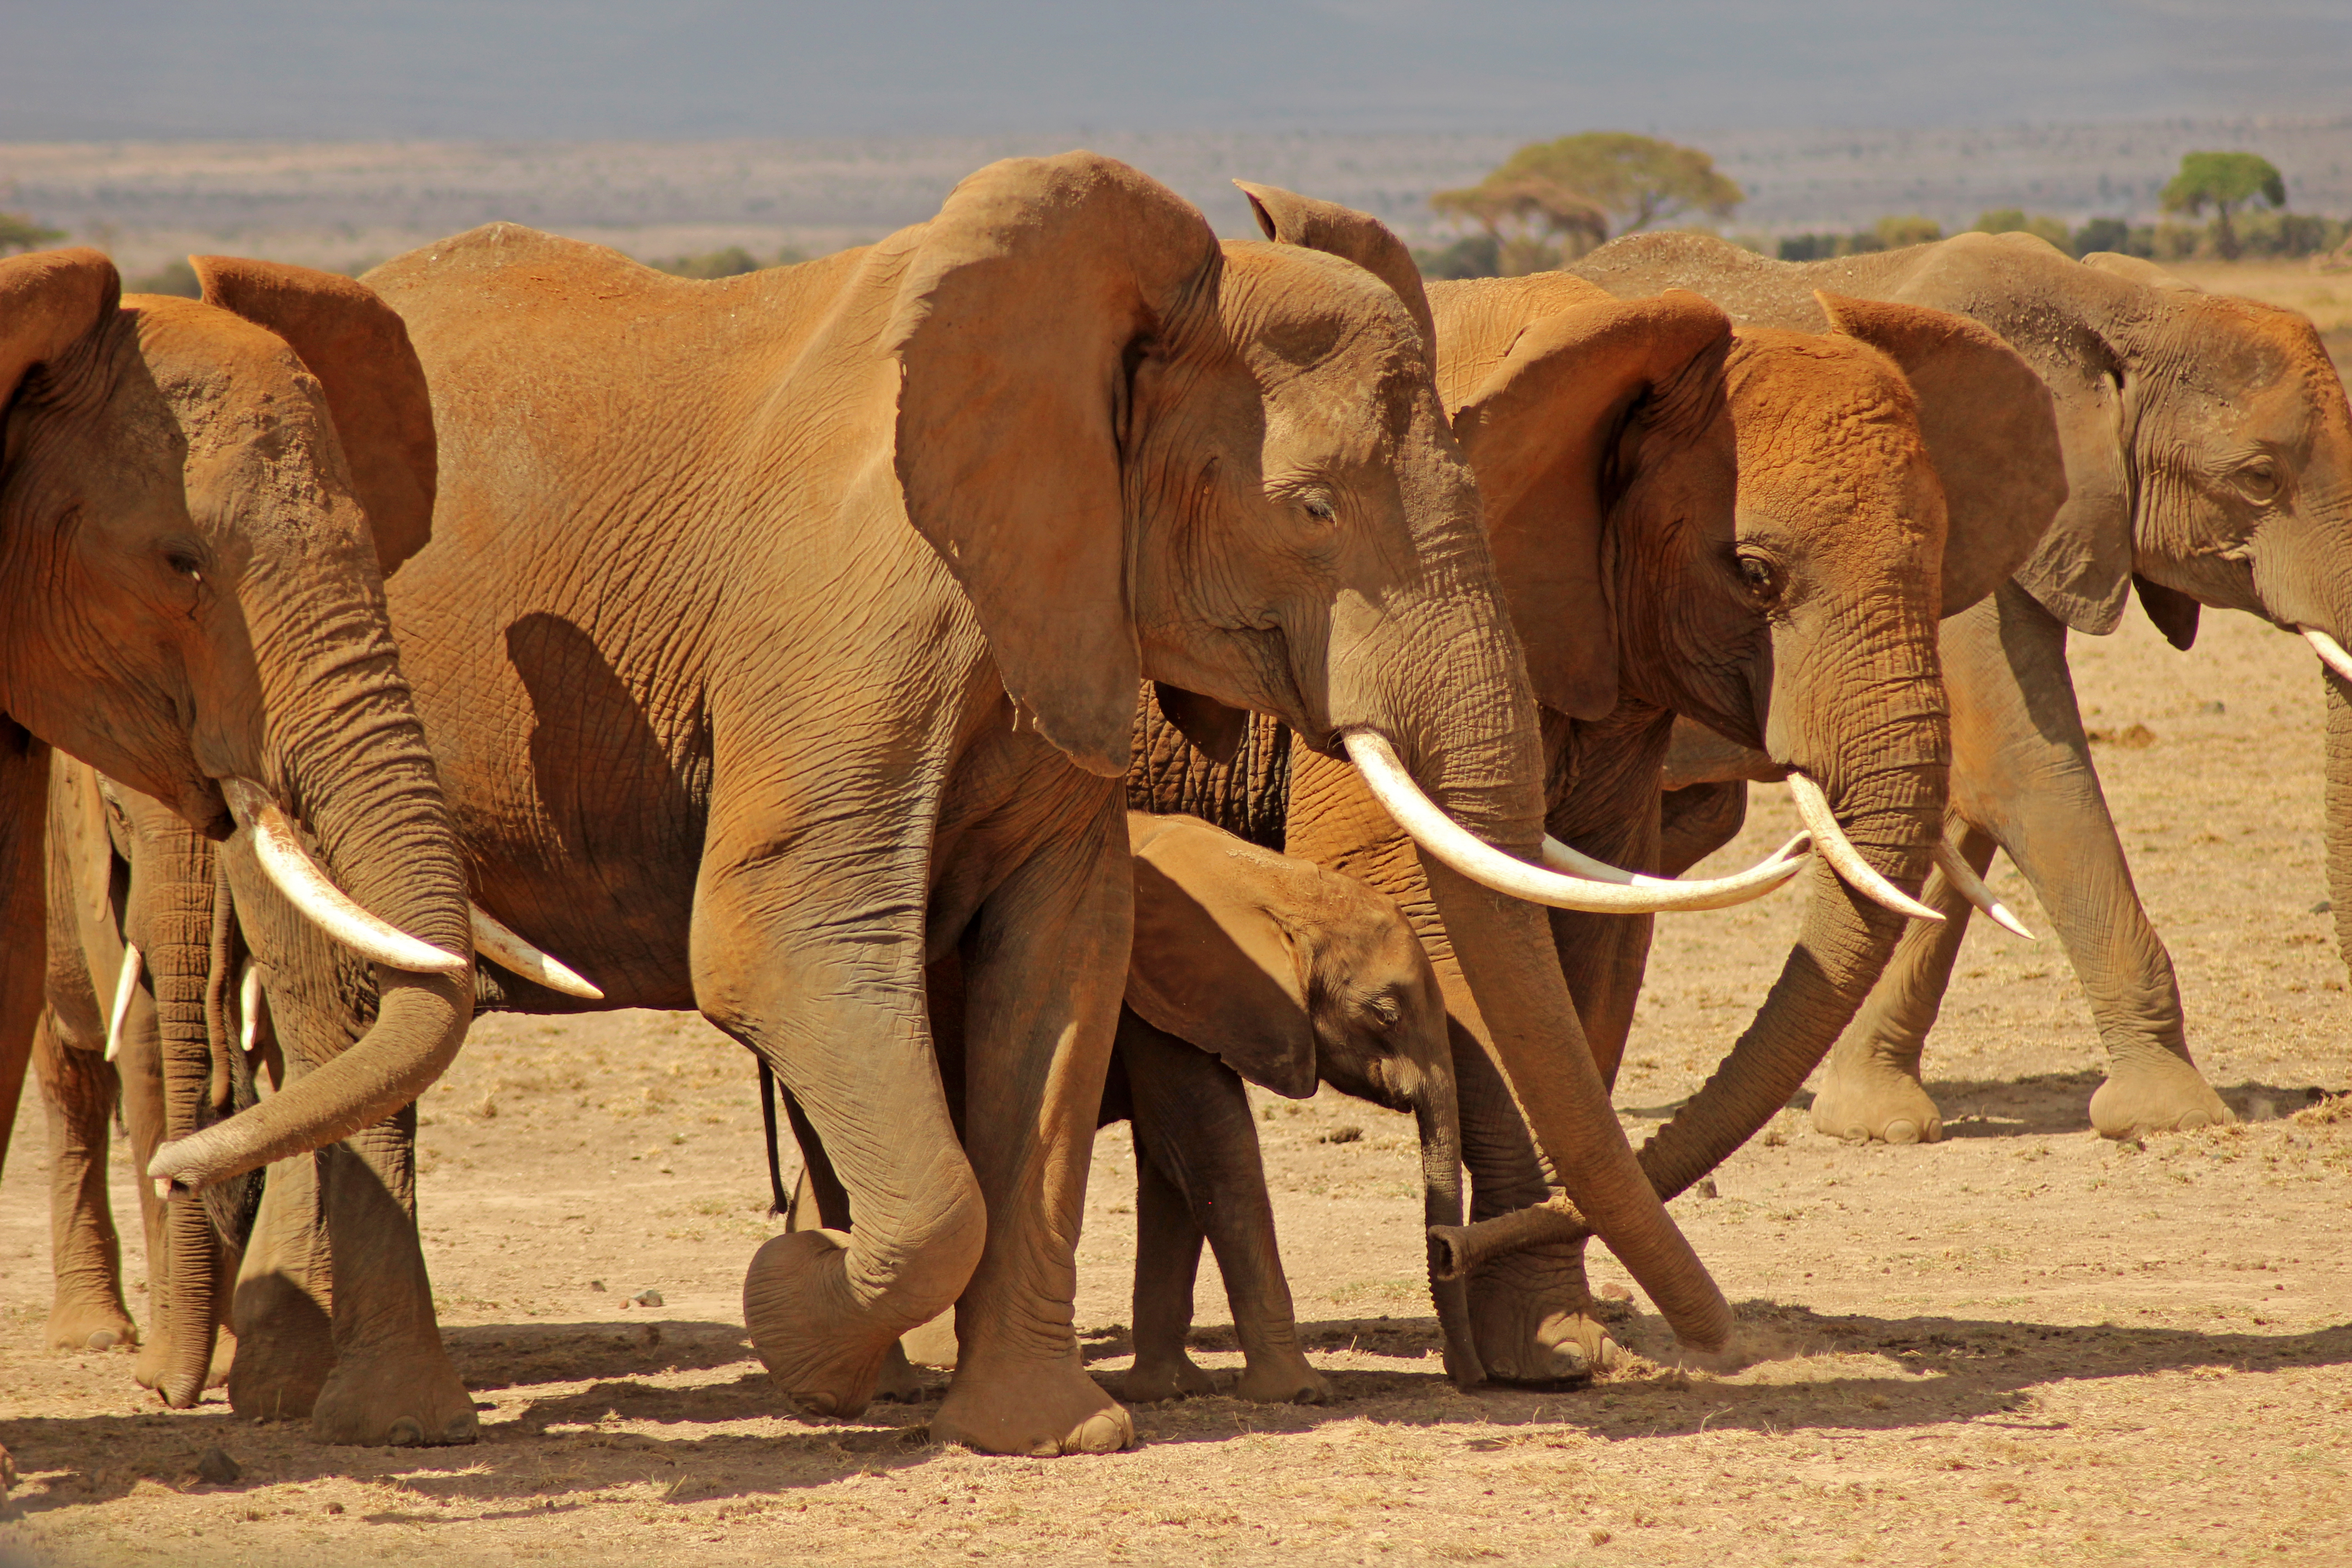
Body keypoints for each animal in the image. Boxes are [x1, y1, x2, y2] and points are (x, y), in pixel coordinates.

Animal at [1101, 818, 1467, 1401]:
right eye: (1386, 1016)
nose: (1466, 1378)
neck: (1270, 878)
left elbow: (1170, 1165)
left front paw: (1167, 1389)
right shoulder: (1165, 993)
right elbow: (1211, 1150)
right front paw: (1299, 1392)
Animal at [1129, 186, 2069, 1382]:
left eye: (1944, 558)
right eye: (1753, 575)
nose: (1726, 1340)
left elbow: (1592, 950)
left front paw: (1545, 1338)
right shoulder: (1360, 619)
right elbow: (1436, 914)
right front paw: (1556, 1350)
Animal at [1580, 230, 2352, 1142]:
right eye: (2259, 479)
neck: (2113, 308)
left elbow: (1953, 802)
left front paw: (1870, 1122)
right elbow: (2021, 770)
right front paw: (2170, 1115)